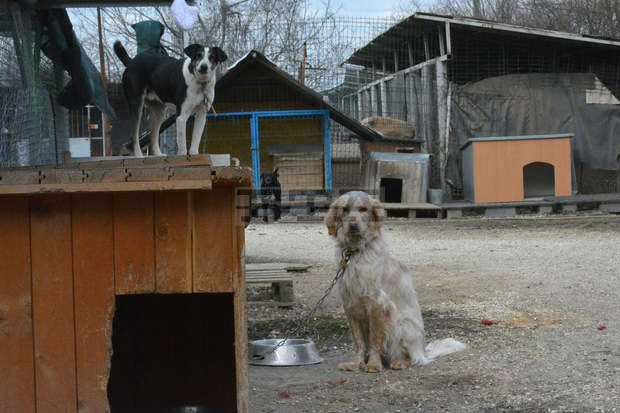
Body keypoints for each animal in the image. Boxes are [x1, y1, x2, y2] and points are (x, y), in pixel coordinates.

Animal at [324, 192, 464, 372]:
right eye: (345, 209)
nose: (353, 225)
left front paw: (373, 364)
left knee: (412, 358)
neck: (356, 253)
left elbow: (375, 341)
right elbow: (359, 342)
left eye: (363, 209)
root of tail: (423, 350)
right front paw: (356, 363)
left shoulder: (378, 304)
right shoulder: (350, 306)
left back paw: (400, 362)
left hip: (402, 325)